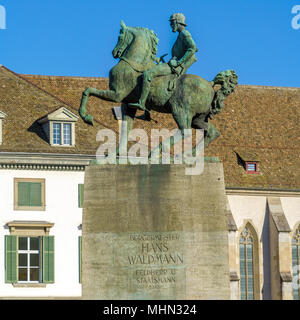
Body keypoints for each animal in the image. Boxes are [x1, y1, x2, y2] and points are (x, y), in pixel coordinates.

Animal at [78, 21, 238, 149]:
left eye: (119, 36)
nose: (114, 52)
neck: (133, 63)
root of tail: (210, 85)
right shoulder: (127, 104)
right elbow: (126, 129)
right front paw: (117, 155)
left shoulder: (117, 95)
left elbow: (88, 90)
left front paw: (86, 117)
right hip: (198, 118)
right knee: (212, 132)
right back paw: (193, 155)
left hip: (180, 110)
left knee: (185, 131)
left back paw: (159, 151)